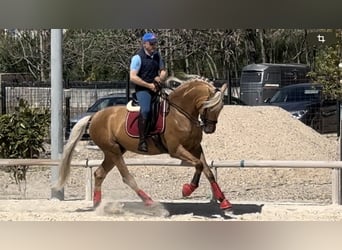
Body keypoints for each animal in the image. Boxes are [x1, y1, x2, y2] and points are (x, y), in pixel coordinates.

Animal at [55, 74, 232, 213]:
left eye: (221, 107)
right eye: (209, 106)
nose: (209, 129)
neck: (181, 114)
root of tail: (94, 116)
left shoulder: (195, 148)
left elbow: (207, 171)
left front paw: (224, 202)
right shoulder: (176, 150)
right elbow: (198, 165)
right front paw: (187, 190)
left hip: (114, 151)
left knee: (99, 173)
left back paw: (98, 206)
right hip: (113, 151)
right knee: (127, 177)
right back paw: (150, 202)